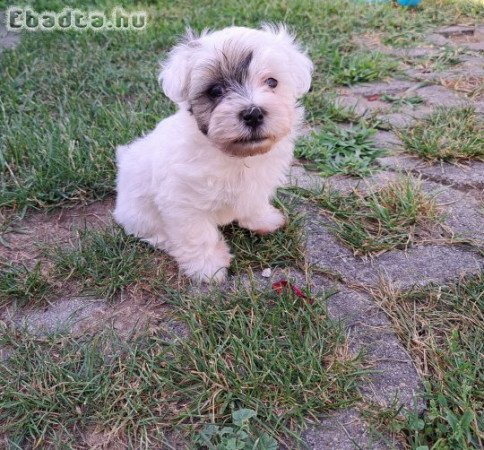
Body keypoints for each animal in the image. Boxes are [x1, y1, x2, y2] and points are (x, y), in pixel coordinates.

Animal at [113, 23, 312, 282]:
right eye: (215, 90)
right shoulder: (183, 202)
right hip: (138, 213)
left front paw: (263, 220)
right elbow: (198, 234)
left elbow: (255, 202)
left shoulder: (257, 183)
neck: (233, 156)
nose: (253, 113)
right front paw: (208, 267)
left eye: (272, 82)